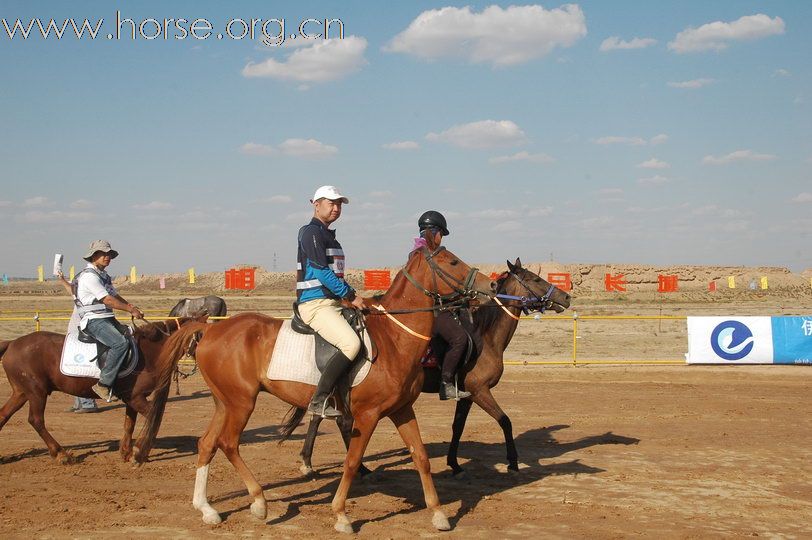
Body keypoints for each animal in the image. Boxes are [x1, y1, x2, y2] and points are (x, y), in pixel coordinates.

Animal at [0, 316, 206, 464]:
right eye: (201, 334)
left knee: (4, 415)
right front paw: (139, 452)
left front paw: (126, 452)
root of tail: (12, 343)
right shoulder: (137, 398)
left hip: (21, 392)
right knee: (36, 420)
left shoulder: (131, 398)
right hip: (36, 392)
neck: (149, 353)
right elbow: (154, 420)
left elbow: (129, 424)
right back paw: (61, 454)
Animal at [137, 243, 494, 532]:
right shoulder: (367, 415)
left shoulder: (402, 410)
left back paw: (207, 509)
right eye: (451, 261)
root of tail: (210, 330)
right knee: (227, 443)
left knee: (207, 443)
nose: (490, 285)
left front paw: (438, 514)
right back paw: (259, 502)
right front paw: (341, 516)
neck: (395, 337)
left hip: (225, 402)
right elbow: (352, 461)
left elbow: (420, 456)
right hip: (241, 403)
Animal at [292, 258, 572, 476]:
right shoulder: (480, 391)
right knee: (330, 419)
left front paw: (454, 463)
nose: (566, 297)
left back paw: (312, 461)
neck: (485, 336)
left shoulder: (466, 394)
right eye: (535, 279)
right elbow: (505, 421)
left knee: (320, 416)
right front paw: (513, 462)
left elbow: (458, 426)